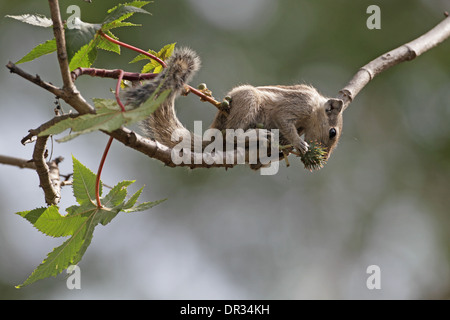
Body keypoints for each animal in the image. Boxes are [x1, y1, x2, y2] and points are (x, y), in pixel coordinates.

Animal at [123, 48, 344, 168]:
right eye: (332, 132)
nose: (325, 158)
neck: (315, 108)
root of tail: (212, 135)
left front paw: (286, 149)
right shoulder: (298, 105)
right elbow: (284, 121)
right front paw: (299, 144)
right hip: (248, 100)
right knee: (231, 135)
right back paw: (256, 136)